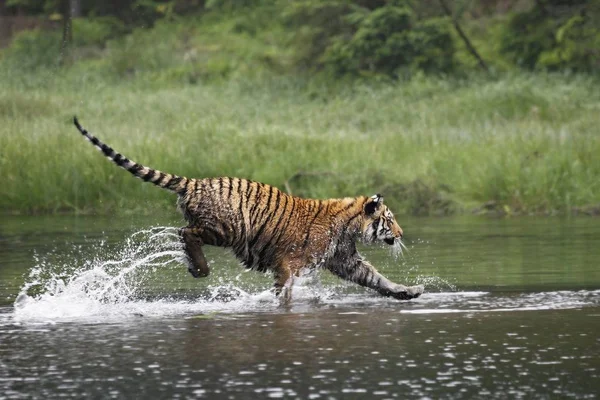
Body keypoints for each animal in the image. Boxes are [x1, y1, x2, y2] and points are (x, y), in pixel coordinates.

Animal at [72, 117, 424, 302]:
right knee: (186, 232)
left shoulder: (346, 261)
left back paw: (194, 267)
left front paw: (408, 291)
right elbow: (285, 290)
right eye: (389, 220)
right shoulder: (289, 262)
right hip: (227, 228)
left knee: (184, 233)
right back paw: (201, 269)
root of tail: (195, 181)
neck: (349, 227)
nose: (402, 233)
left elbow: (377, 278)